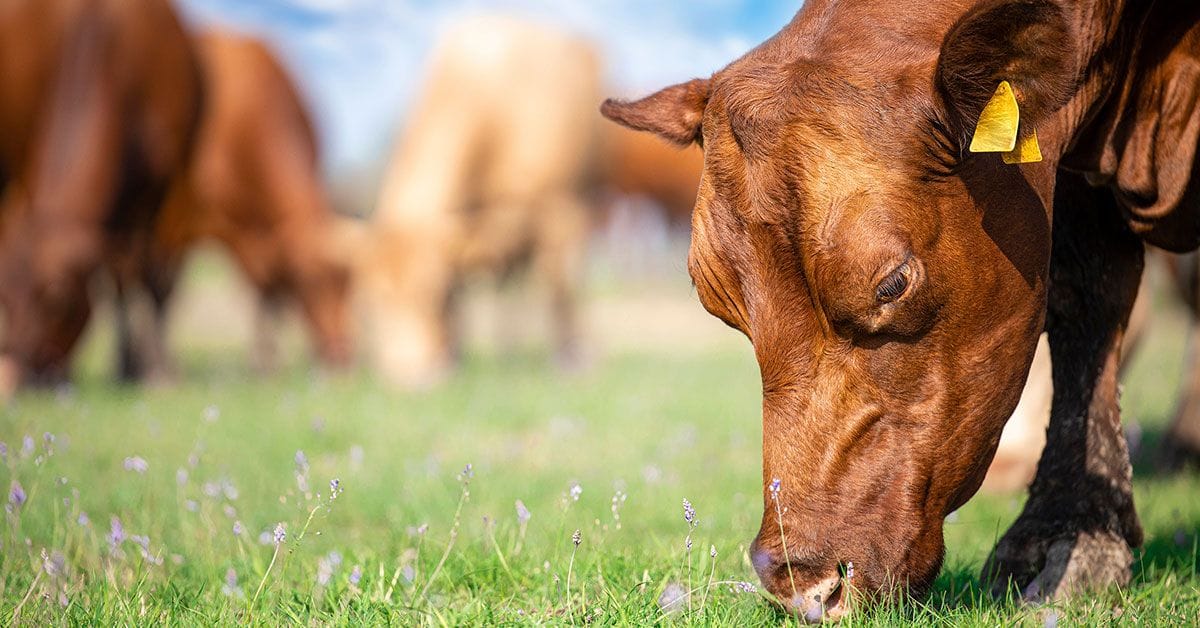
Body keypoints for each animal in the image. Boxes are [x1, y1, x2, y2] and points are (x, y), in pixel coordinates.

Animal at [0, 0, 203, 399]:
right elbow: (117, 278)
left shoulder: (154, 193)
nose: (12, 379)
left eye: (59, 301)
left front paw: (152, 372)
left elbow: (140, 274)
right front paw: (127, 368)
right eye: (3, 295)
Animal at [115, 31, 353, 382]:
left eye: (351, 286)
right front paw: (161, 370)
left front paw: (266, 364)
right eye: (310, 280)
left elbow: (267, 295)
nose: (340, 355)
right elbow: (160, 291)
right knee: (122, 285)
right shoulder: (172, 222)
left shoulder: (259, 237)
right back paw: (126, 365)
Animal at [366, 16, 601, 388]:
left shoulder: (558, 206)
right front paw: (454, 355)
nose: (407, 377)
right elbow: (469, 282)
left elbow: (560, 284)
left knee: (563, 277)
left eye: (432, 292)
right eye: (374, 299)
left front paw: (573, 359)